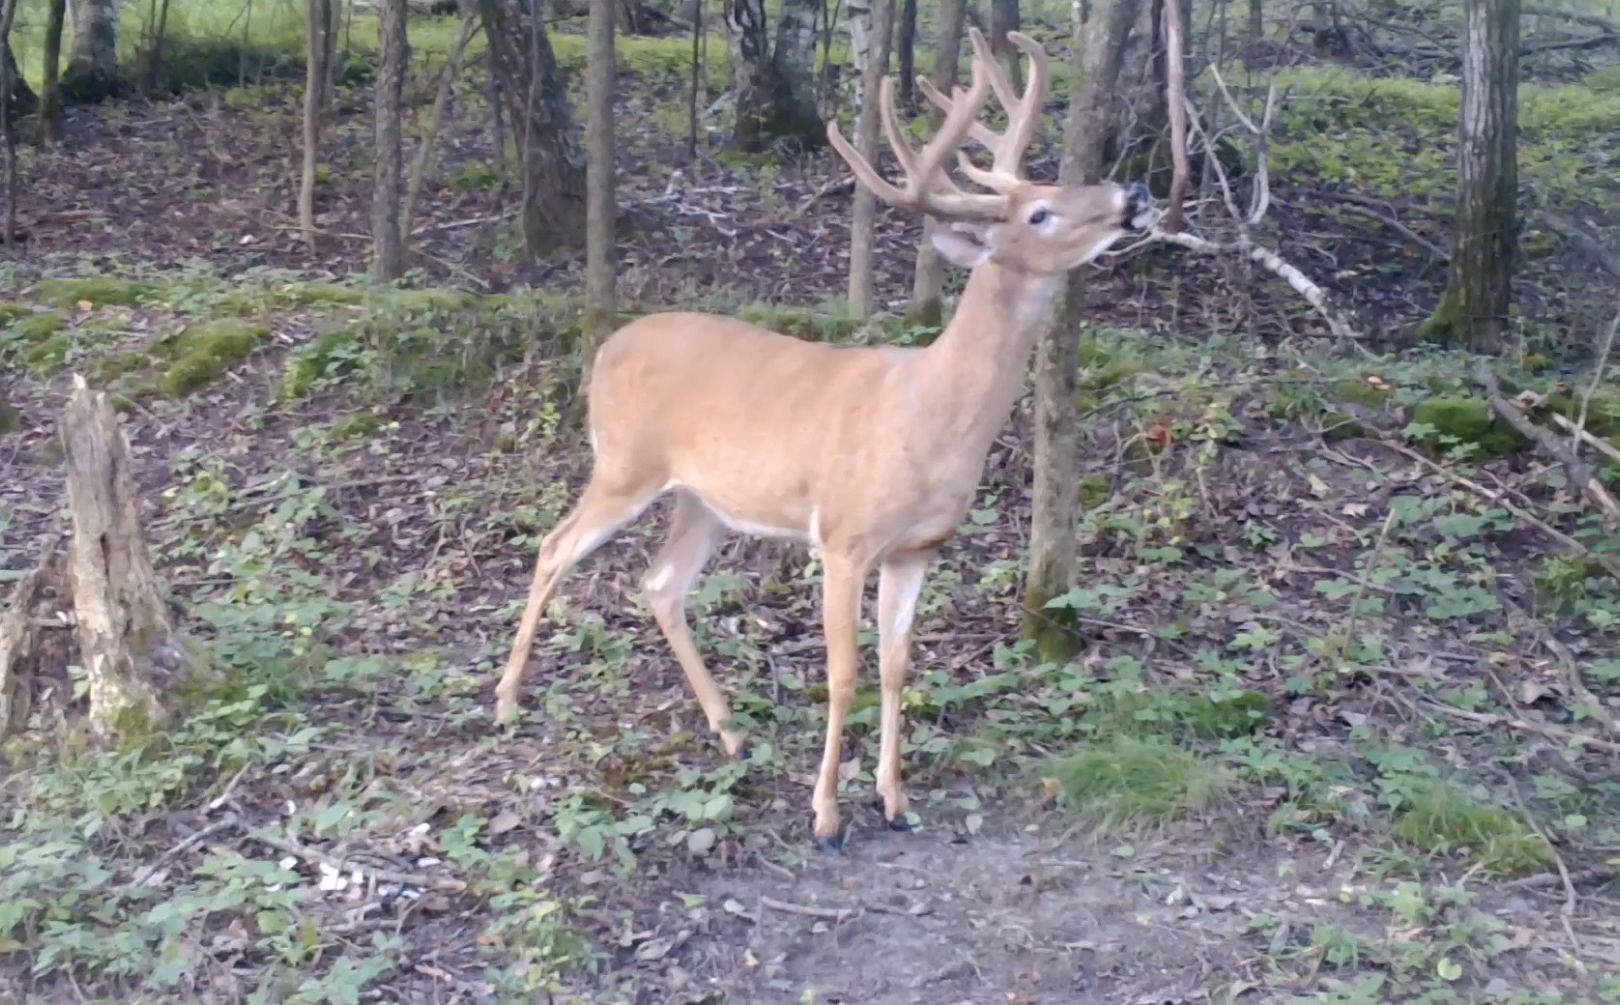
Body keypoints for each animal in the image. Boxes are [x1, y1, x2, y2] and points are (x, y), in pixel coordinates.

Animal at [486, 27, 1159, 849]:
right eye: (1039, 213)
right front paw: (827, 814)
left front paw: (895, 799)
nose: (1135, 195)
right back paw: (507, 700)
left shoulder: (917, 548)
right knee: (554, 546)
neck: (931, 415)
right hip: (623, 463)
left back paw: (730, 729)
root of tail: (607, 349)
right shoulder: (843, 536)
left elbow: (898, 666)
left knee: (660, 582)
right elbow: (844, 673)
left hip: (703, 500)